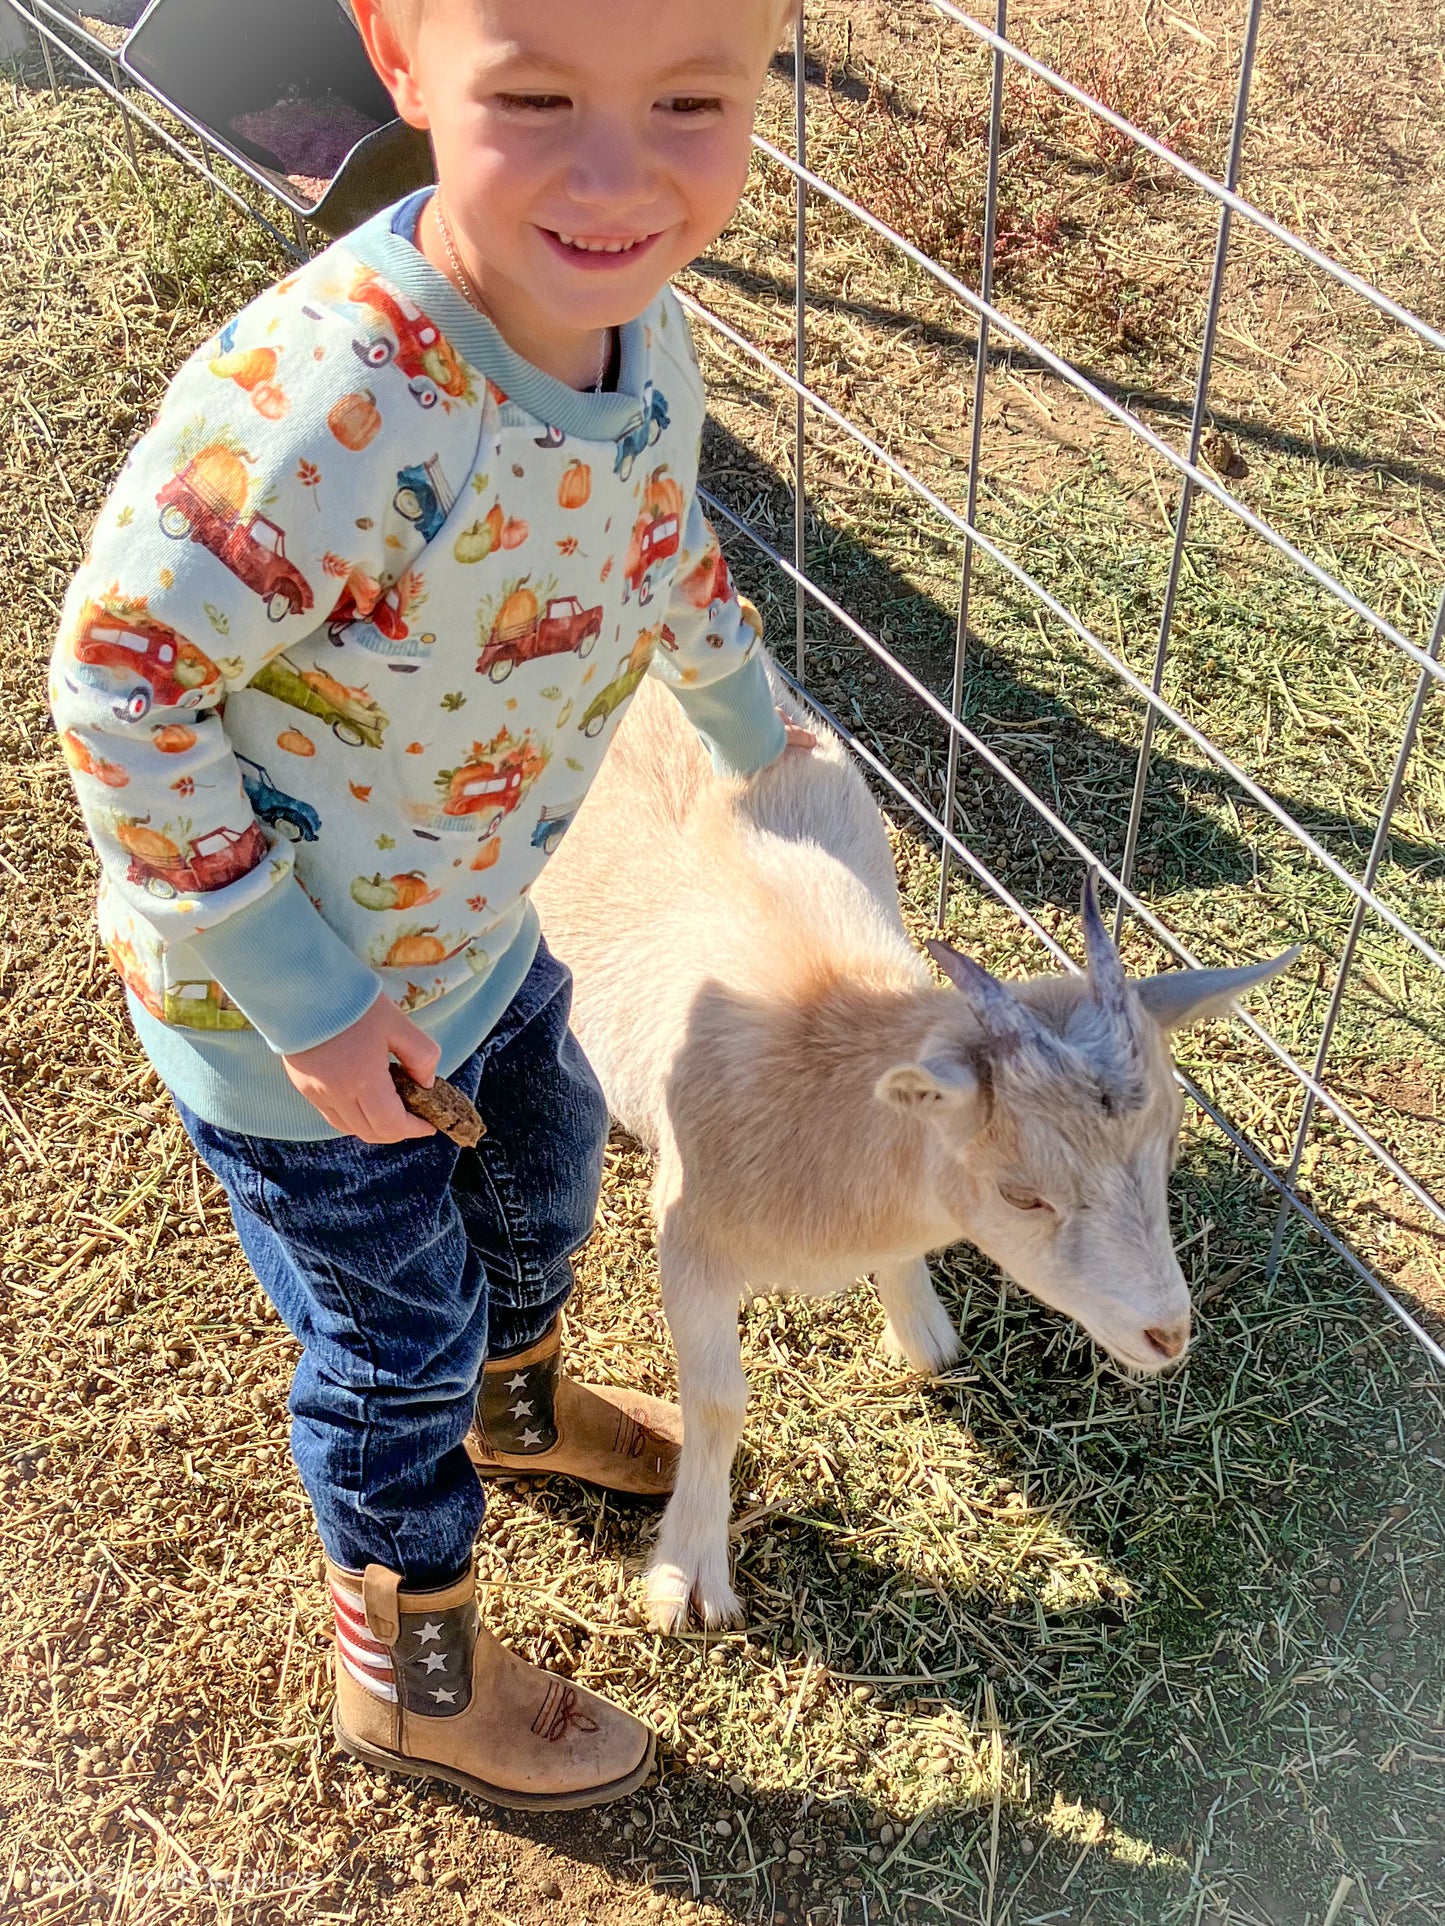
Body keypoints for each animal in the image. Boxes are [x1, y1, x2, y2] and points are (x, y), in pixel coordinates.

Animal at [535, 670, 1302, 1633]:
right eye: (1021, 1195)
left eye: (1164, 1155)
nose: (1168, 1334)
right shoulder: (689, 1236)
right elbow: (715, 1400)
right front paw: (689, 1579)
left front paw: (924, 1335)